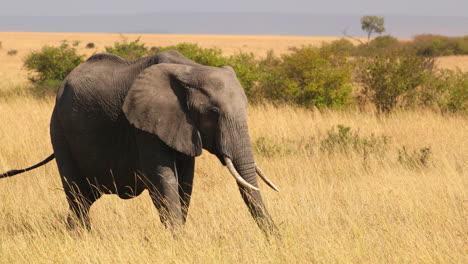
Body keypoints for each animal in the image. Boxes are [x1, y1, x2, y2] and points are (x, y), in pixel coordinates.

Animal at [0, 49, 278, 235]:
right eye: (213, 112)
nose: (276, 239)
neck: (190, 69)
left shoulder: (183, 126)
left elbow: (186, 181)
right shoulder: (143, 125)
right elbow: (163, 177)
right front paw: (178, 239)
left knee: (86, 197)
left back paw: (71, 231)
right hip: (59, 129)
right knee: (77, 193)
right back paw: (83, 236)